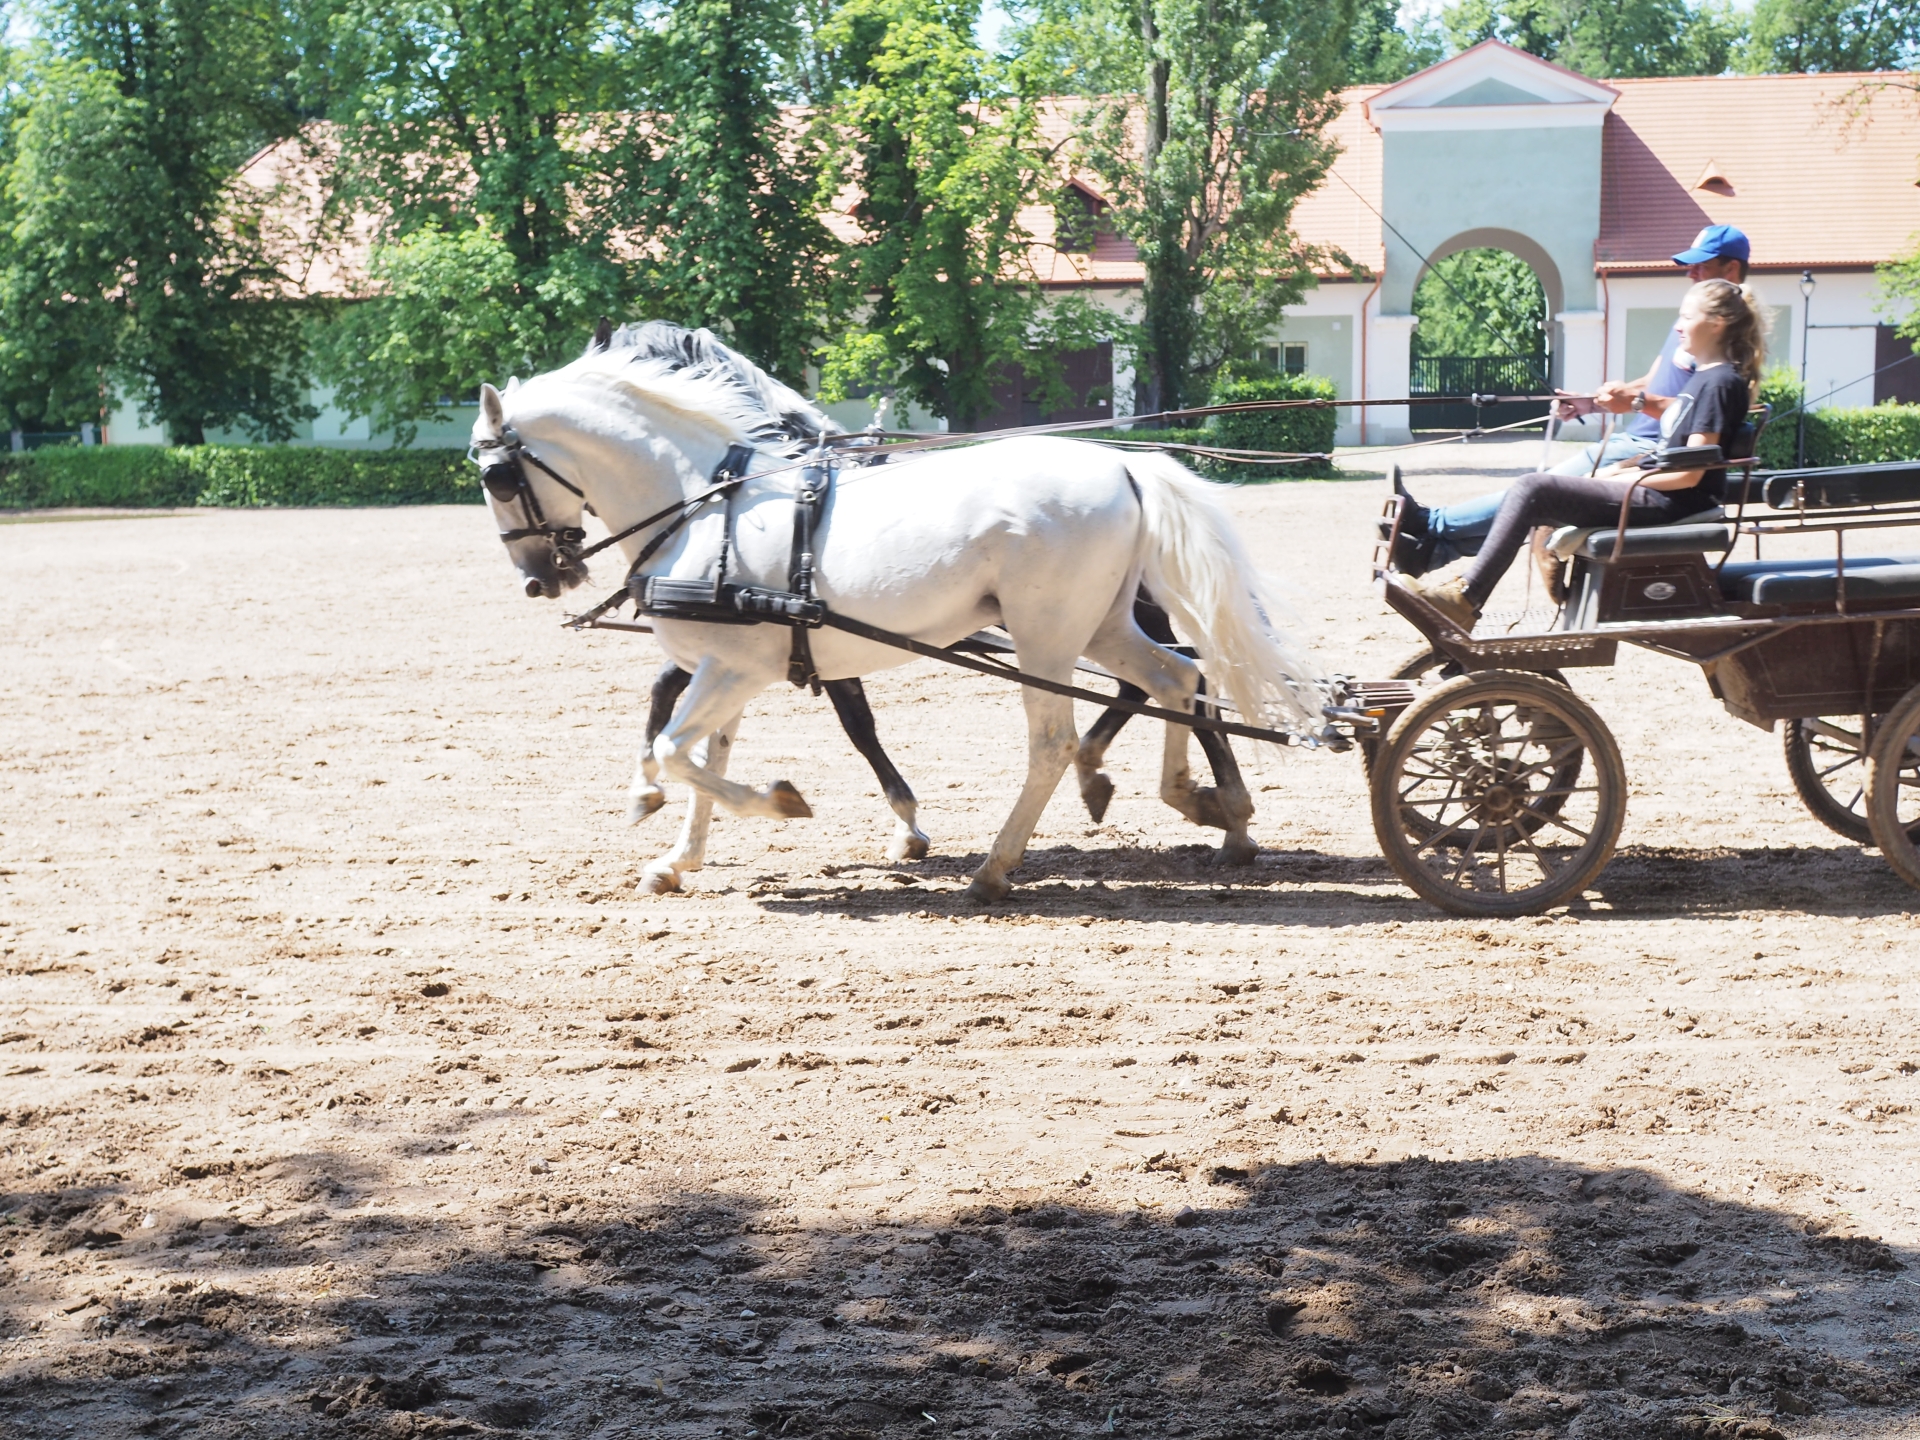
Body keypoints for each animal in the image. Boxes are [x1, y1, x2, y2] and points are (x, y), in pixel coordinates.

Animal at [475, 323, 1323, 899]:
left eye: (494, 476)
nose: (537, 578)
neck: (704, 499)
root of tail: (1123, 465)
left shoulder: (734, 667)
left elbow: (681, 752)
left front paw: (782, 803)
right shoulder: (732, 665)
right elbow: (702, 759)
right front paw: (677, 860)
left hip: (1046, 637)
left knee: (1057, 741)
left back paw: (998, 866)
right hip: (1106, 623)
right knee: (1176, 680)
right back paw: (1207, 805)